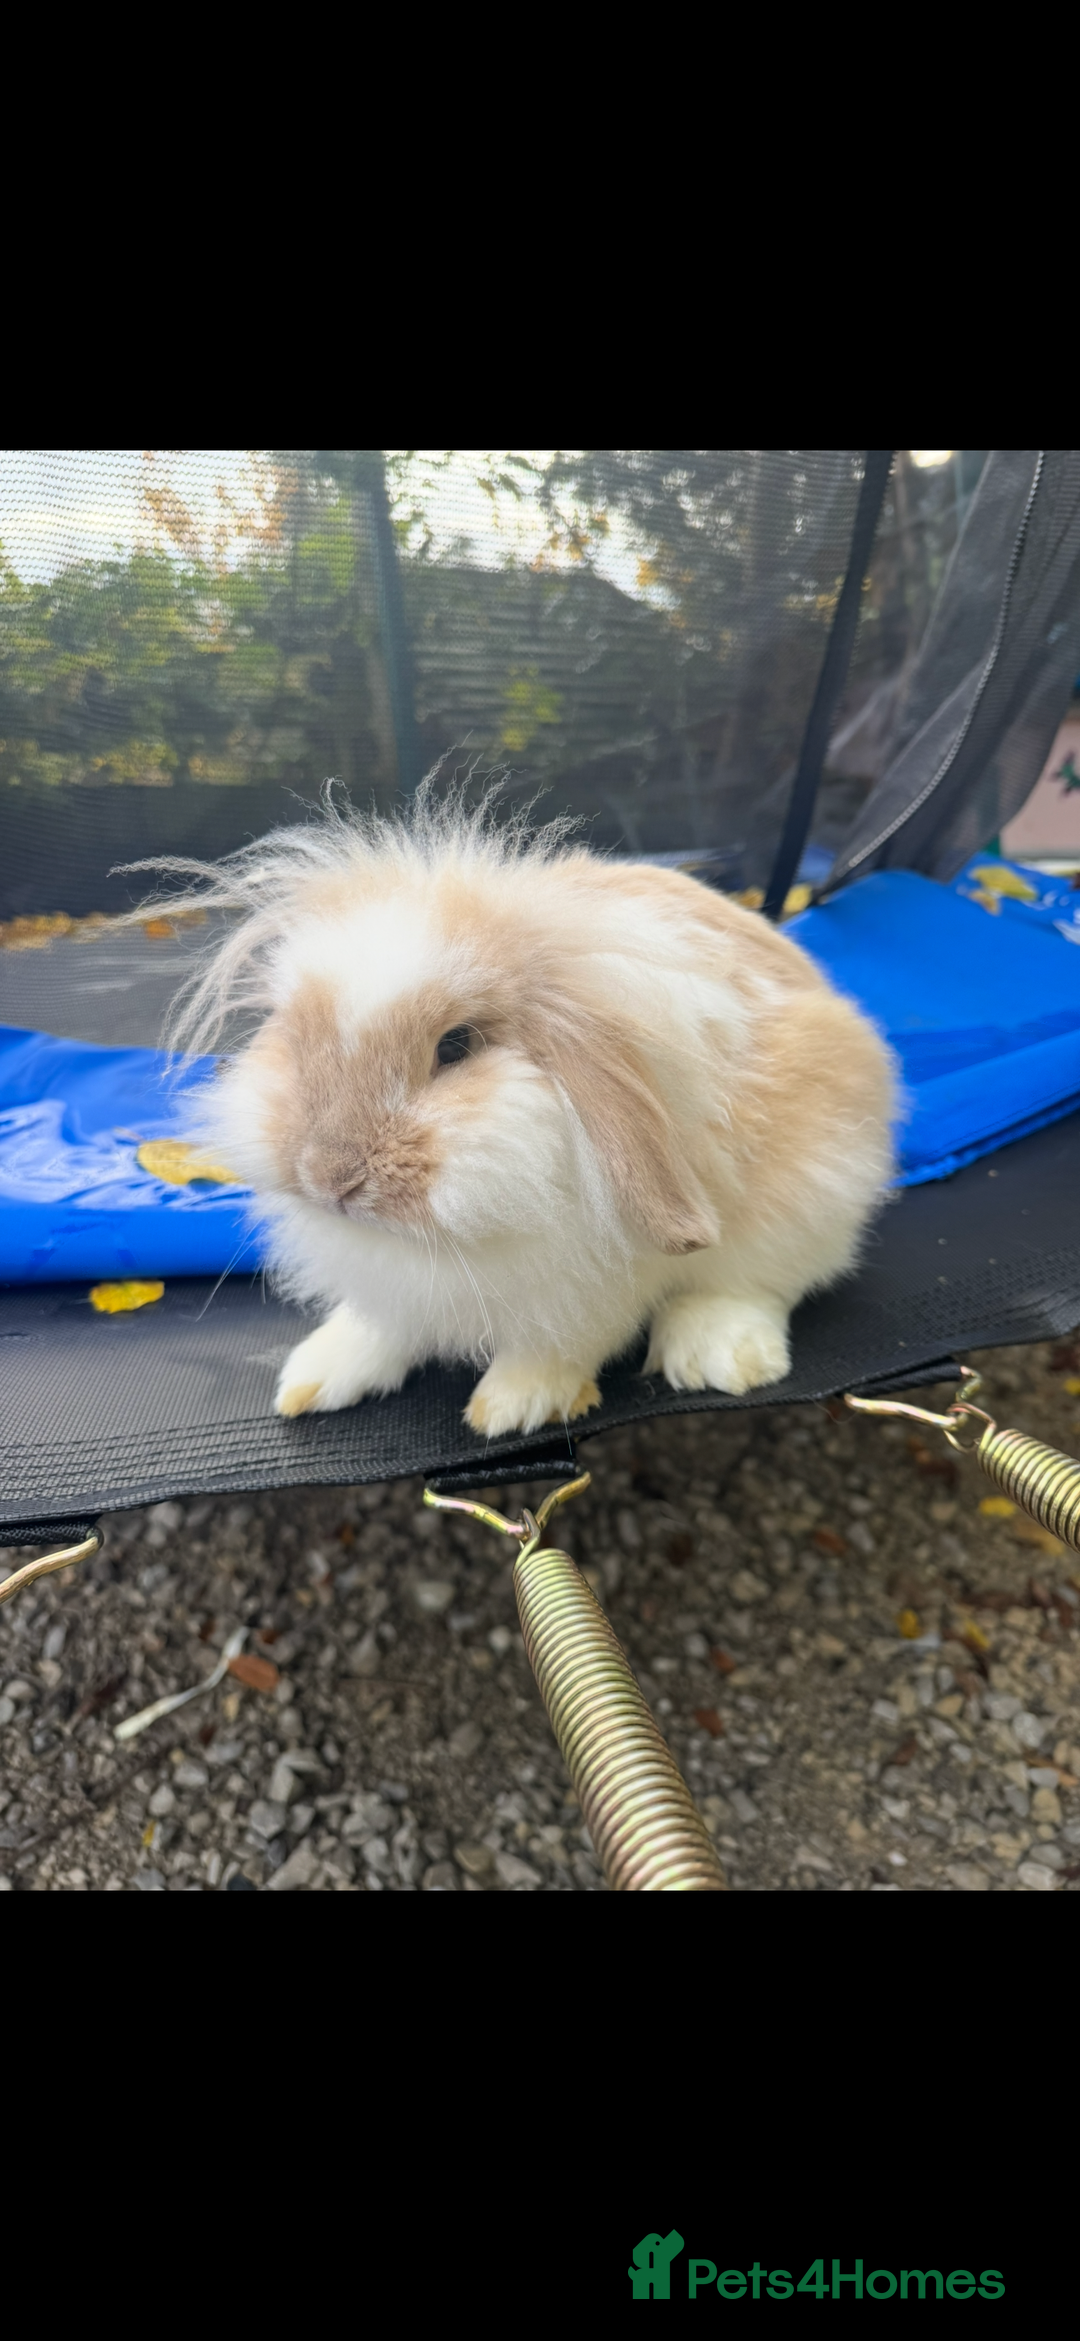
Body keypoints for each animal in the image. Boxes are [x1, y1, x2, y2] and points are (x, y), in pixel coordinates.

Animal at [157, 787, 896, 1436]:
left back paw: (721, 1357)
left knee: (757, 1282)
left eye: (456, 1045)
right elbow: (379, 1326)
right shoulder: (393, 1288)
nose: (329, 1176)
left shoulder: (593, 1287)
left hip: (812, 1191)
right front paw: (314, 1376)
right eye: (295, 1032)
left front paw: (515, 1404)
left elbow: (563, 1342)